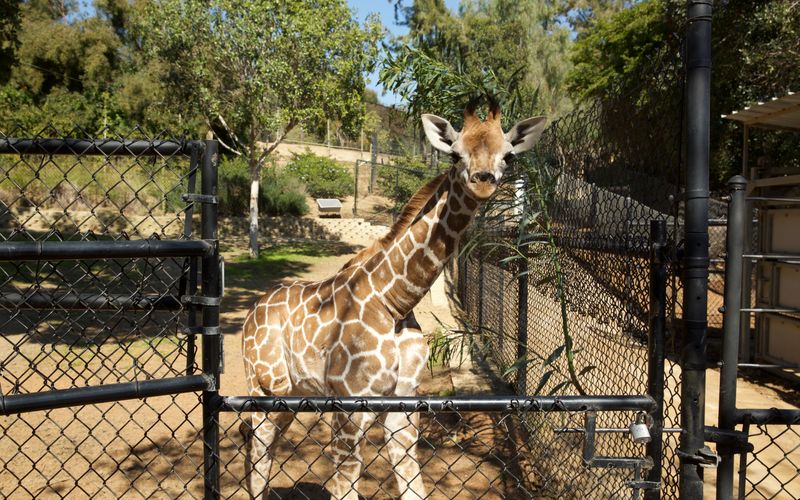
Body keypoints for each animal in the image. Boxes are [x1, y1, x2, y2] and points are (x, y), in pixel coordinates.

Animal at [241, 103, 548, 498]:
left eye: (508, 155)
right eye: (455, 153)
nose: (483, 180)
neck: (393, 303)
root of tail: (253, 310)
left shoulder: (404, 402)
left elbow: (414, 485)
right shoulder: (348, 405)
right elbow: (344, 485)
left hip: (291, 393)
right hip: (262, 385)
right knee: (259, 450)